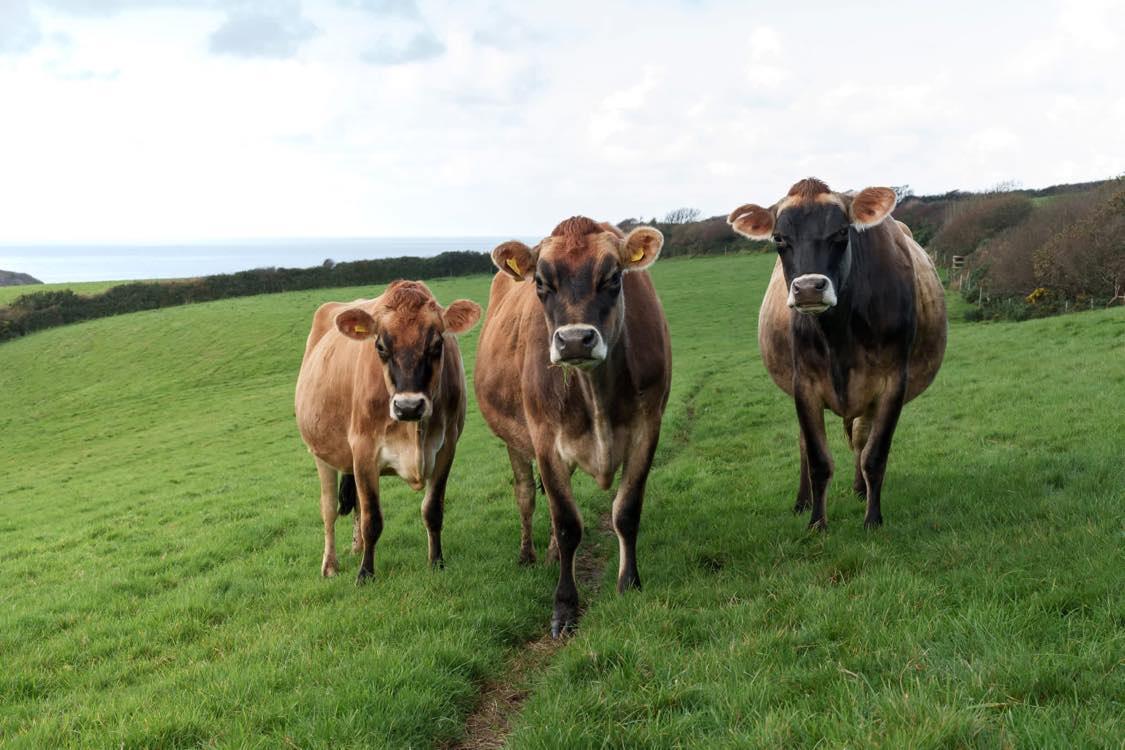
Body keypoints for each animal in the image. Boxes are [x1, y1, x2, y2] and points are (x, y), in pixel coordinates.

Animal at [295, 280, 481, 583]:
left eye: (437, 344)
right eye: (380, 346)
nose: (409, 406)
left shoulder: (446, 448)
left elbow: (433, 510)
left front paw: (436, 561)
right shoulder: (364, 451)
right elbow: (372, 519)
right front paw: (365, 574)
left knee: (356, 505)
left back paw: (357, 547)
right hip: (321, 454)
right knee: (329, 509)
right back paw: (331, 565)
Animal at [474, 217, 672, 636]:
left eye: (613, 276)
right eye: (541, 282)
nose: (575, 340)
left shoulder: (648, 428)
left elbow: (626, 512)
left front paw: (629, 584)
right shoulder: (545, 440)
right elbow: (567, 524)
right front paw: (564, 606)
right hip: (516, 441)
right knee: (527, 496)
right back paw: (528, 554)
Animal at [729, 178, 947, 530]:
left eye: (842, 232)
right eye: (779, 238)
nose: (808, 288)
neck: (839, 337)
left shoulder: (893, 382)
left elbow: (875, 455)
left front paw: (873, 519)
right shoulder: (803, 384)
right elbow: (818, 458)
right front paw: (817, 523)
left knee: (860, 438)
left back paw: (860, 489)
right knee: (806, 444)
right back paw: (803, 501)